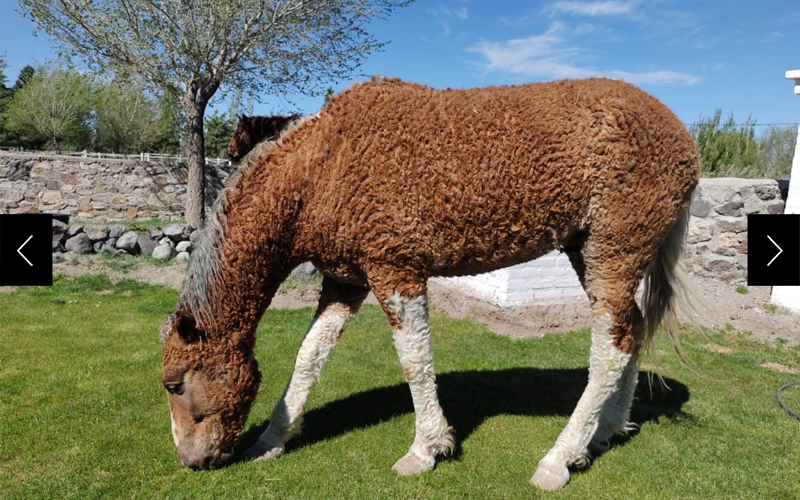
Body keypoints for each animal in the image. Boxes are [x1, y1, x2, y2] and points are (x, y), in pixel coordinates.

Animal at [161, 76, 699, 490]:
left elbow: (415, 361)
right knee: (630, 333)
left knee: (610, 347)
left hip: (614, 249)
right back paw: (607, 429)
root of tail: (683, 138)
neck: (322, 168)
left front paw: (427, 448)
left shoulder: (396, 272)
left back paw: (559, 458)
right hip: (588, 251)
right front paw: (274, 437)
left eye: (175, 384)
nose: (190, 460)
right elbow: (309, 355)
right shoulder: (343, 282)